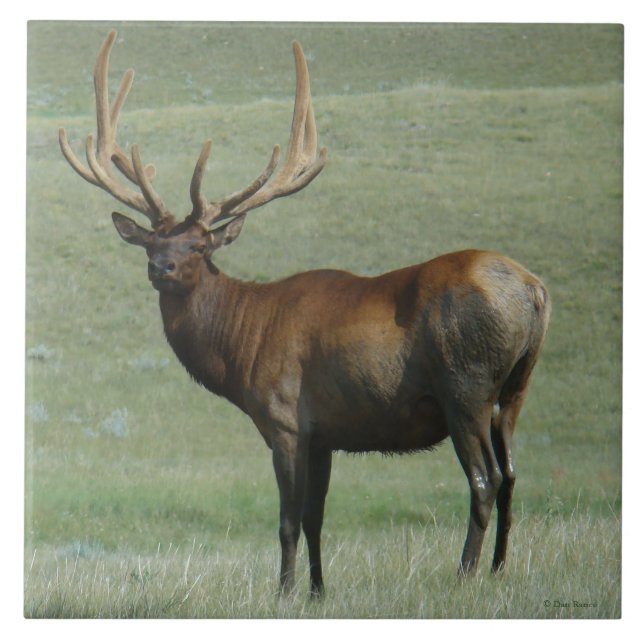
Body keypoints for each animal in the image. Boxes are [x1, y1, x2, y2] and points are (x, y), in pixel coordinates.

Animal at [59, 30, 550, 597]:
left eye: (199, 246)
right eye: (151, 243)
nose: (162, 266)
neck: (242, 345)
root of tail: (535, 290)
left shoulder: (285, 418)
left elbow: (288, 518)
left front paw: (285, 591)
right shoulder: (325, 434)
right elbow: (317, 516)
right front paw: (318, 590)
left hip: (465, 387)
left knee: (484, 479)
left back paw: (464, 574)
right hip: (515, 389)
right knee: (511, 474)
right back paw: (499, 569)